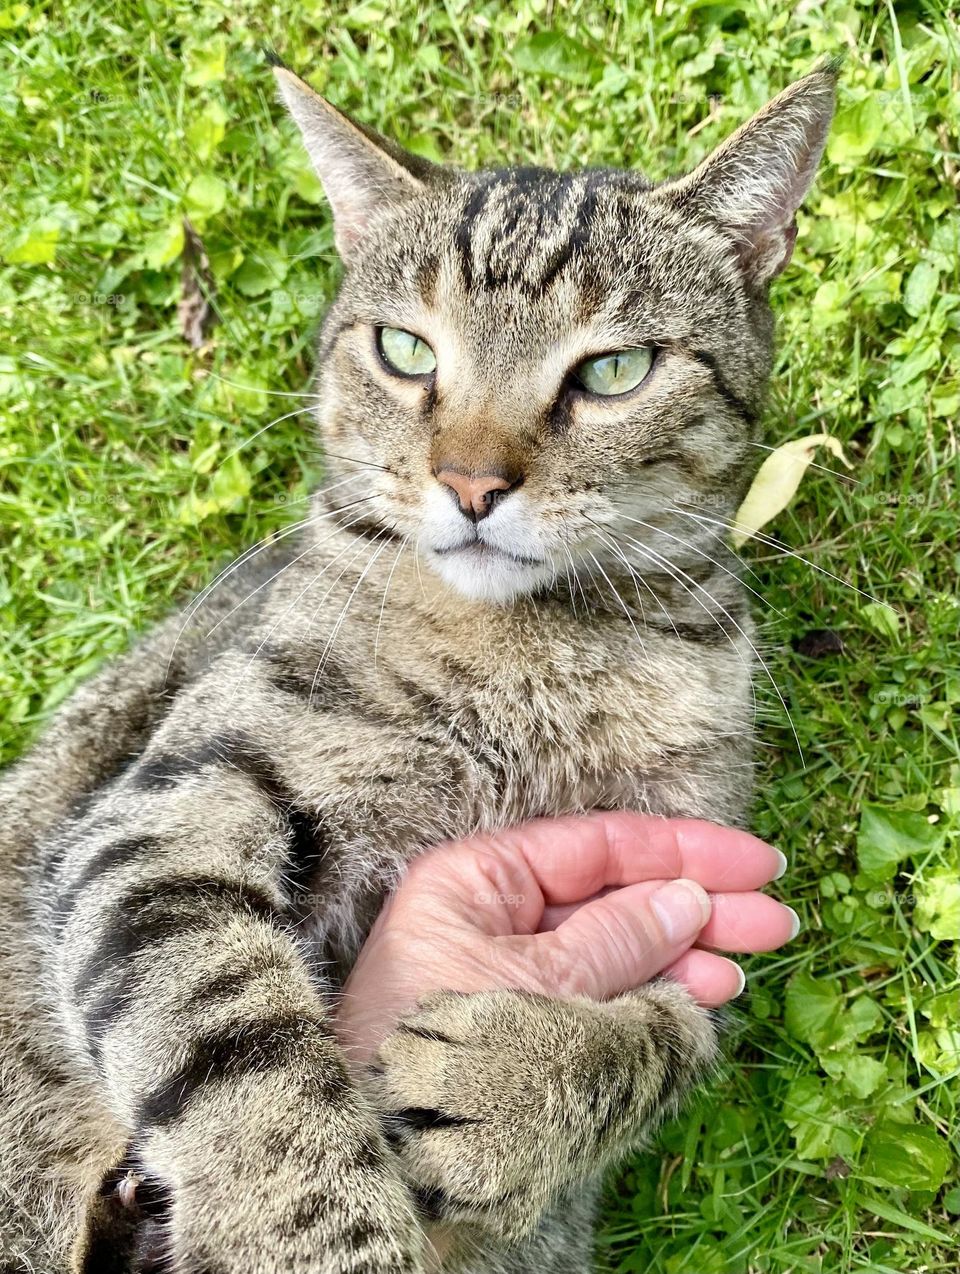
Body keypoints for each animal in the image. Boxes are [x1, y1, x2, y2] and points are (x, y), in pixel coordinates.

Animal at [0, 52, 835, 1274]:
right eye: (406, 352)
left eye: (615, 370)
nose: (472, 483)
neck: (537, 650)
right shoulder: (158, 822)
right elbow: (243, 1056)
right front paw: (320, 1237)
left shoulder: (696, 884)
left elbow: (674, 1039)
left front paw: (516, 1084)